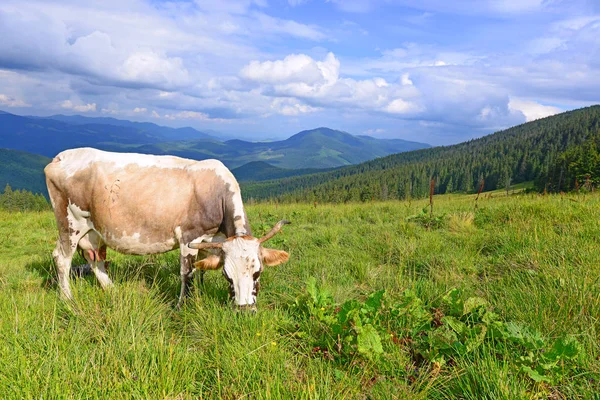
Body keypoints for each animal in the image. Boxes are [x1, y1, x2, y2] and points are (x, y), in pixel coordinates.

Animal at [45, 148, 290, 308]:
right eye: (227, 276)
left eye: (258, 272)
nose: (245, 310)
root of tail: (61, 156)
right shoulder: (189, 237)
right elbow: (187, 273)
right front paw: (183, 305)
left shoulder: (210, 240)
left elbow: (201, 270)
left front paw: (200, 295)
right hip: (69, 224)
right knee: (62, 258)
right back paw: (67, 299)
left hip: (94, 231)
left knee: (95, 259)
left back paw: (113, 290)